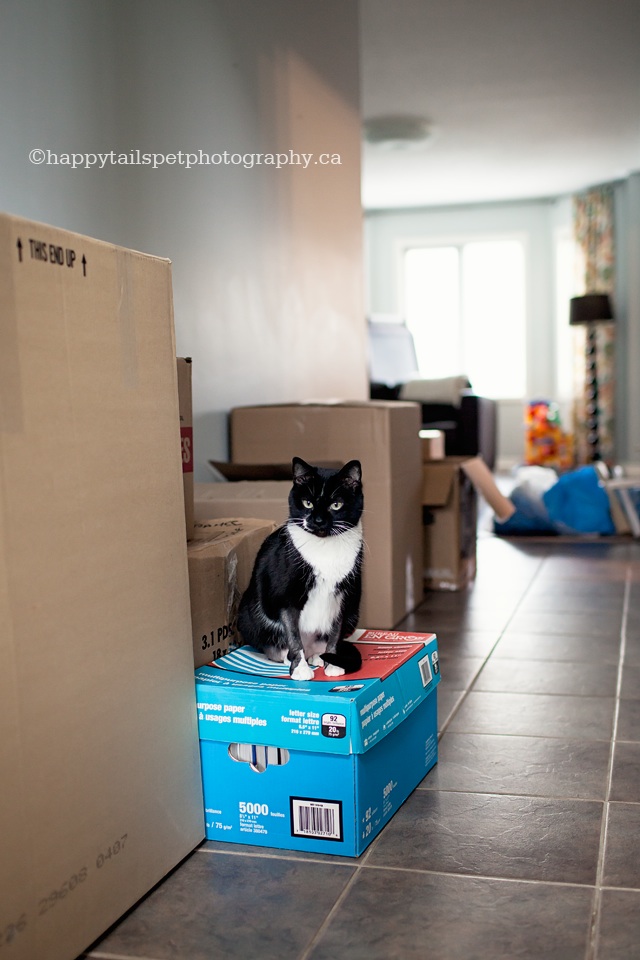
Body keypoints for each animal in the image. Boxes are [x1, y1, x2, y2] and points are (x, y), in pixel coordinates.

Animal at [236, 460, 364, 680]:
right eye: (308, 503)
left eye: (336, 505)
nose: (318, 521)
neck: (324, 549)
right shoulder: (286, 596)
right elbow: (293, 635)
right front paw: (299, 669)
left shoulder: (344, 597)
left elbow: (335, 633)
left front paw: (333, 663)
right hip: (247, 614)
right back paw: (287, 656)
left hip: (354, 610)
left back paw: (319, 656)